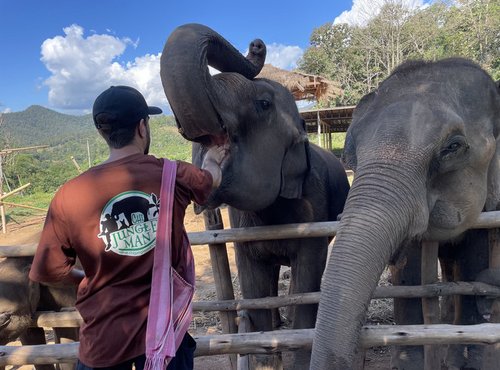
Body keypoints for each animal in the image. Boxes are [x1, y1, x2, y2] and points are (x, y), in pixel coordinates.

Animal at [162, 23, 350, 370]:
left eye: (262, 104)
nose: (256, 45)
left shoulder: (313, 211)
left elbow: (308, 271)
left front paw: (299, 356)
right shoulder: (242, 227)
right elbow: (253, 281)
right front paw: (265, 355)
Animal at [308, 58, 500, 370]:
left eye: (453, 147)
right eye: (349, 156)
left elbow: (475, 261)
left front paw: (469, 363)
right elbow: (409, 271)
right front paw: (409, 362)